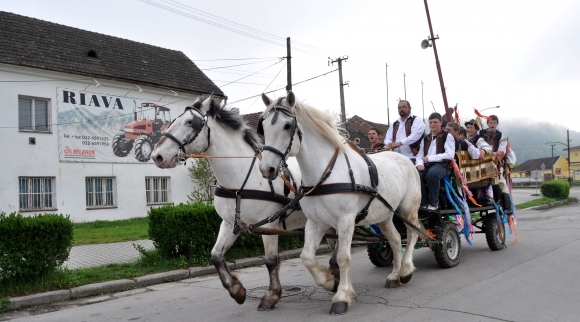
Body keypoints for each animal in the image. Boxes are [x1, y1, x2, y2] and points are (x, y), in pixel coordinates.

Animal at [151, 96, 340, 312]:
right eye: (174, 120)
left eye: (190, 122)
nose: (157, 155)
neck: (240, 179)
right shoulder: (230, 224)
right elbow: (216, 255)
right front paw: (237, 290)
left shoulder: (269, 225)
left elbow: (271, 260)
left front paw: (271, 296)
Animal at [258, 92, 422, 316]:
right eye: (263, 126)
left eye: (287, 125)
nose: (266, 169)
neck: (325, 175)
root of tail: (405, 159)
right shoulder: (316, 223)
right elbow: (306, 257)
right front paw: (329, 282)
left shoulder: (345, 221)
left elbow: (343, 258)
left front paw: (342, 296)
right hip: (384, 216)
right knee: (396, 240)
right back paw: (394, 276)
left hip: (407, 209)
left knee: (413, 233)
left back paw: (405, 270)